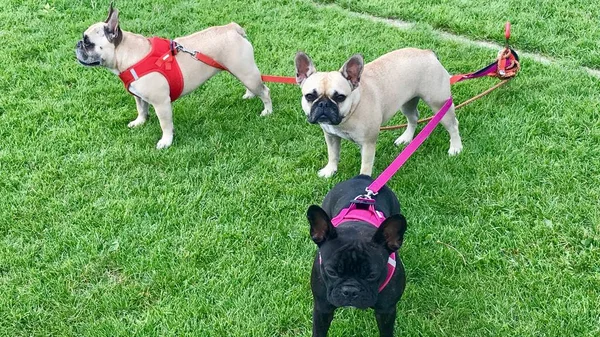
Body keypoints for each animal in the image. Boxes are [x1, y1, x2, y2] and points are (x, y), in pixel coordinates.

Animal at [75, 5, 272, 148]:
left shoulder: (161, 103)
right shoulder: (139, 96)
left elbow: (165, 124)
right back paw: (249, 95)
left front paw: (166, 141)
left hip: (247, 73)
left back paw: (267, 111)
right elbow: (141, 109)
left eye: (88, 43)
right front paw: (140, 122)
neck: (128, 55)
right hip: (239, 70)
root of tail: (231, 28)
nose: (77, 44)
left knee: (265, 91)